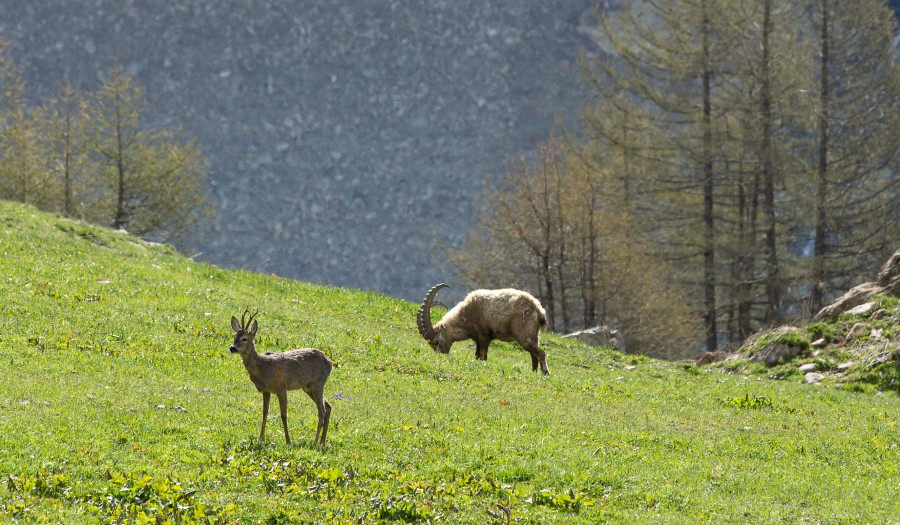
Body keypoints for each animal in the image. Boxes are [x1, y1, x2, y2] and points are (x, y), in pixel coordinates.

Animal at [229, 310, 334, 444]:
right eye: (234, 337)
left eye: (244, 338)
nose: (232, 348)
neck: (262, 367)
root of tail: (330, 362)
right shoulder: (266, 390)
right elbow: (265, 412)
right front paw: (260, 438)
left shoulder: (281, 387)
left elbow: (284, 415)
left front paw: (288, 441)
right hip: (308, 387)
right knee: (328, 406)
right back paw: (322, 442)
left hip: (317, 383)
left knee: (321, 410)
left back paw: (315, 442)